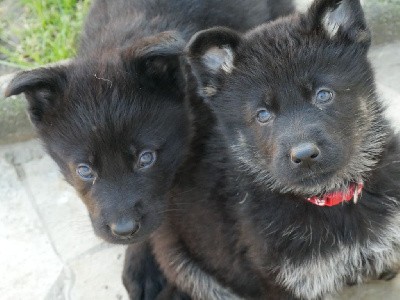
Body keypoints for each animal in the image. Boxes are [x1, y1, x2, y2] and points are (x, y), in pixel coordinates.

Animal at [146, 0, 400, 298]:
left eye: (323, 95)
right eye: (263, 115)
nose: (304, 155)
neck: (328, 199)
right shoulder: (281, 280)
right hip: (182, 263)